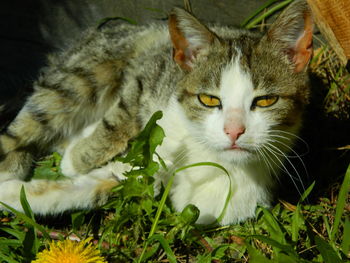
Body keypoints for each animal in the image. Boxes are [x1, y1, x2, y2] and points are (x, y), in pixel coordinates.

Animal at [0, 0, 312, 227]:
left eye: (266, 100)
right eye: (209, 99)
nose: (234, 131)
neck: (211, 158)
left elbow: (91, 188)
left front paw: (15, 194)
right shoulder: (148, 76)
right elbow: (121, 116)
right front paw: (75, 161)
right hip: (85, 72)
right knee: (32, 119)